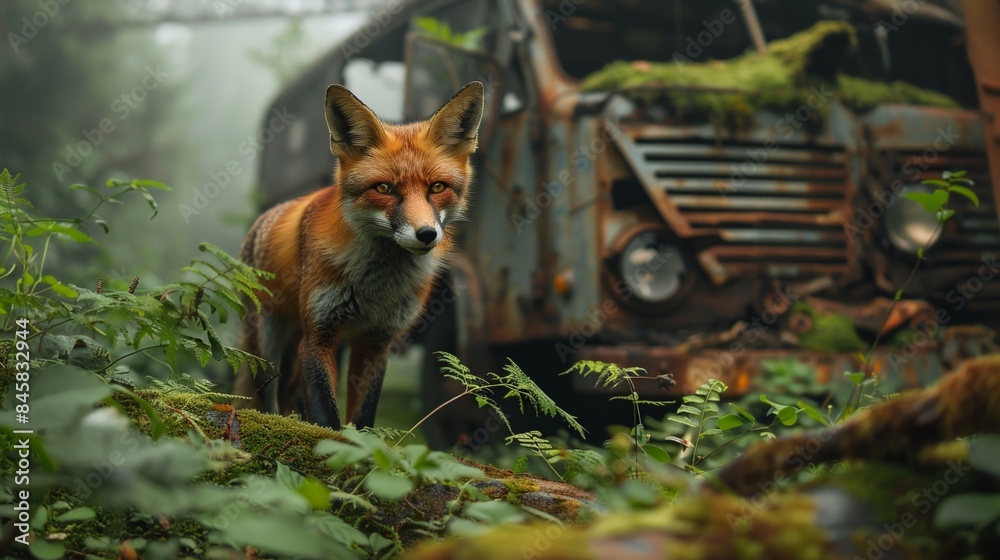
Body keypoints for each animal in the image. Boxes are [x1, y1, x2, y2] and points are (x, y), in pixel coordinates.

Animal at [234, 81, 485, 430]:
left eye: (437, 188)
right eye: (384, 188)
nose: (426, 234)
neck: (376, 288)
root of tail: (262, 217)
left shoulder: (377, 341)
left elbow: (363, 420)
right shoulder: (318, 335)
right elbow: (327, 417)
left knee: (292, 393)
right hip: (267, 346)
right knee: (267, 400)